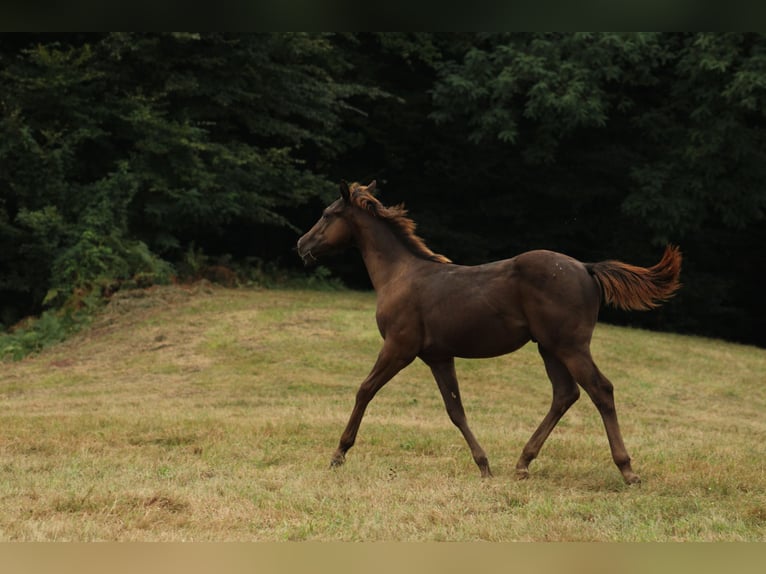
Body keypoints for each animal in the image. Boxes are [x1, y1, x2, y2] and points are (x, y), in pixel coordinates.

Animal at [296, 181, 684, 486]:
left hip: (570, 346)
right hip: (549, 348)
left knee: (600, 390)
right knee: (565, 394)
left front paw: (338, 454)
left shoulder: (399, 347)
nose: (301, 245)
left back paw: (627, 470)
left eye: (328, 214)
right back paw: (523, 463)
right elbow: (456, 410)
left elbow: (365, 390)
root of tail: (586, 268)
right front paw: (484, 466)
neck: (399, 274)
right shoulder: (438, 356)